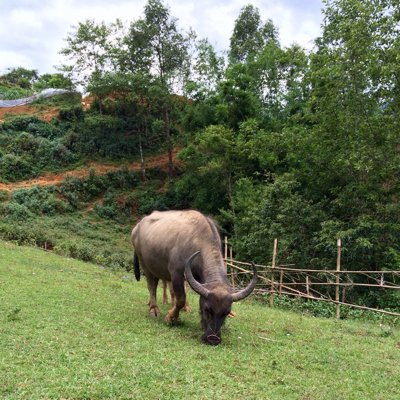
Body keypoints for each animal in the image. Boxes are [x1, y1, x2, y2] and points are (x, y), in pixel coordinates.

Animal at [131, 209, 256, 344]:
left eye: (226, 313)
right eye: (207, 309)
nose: (213, 339)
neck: (198, 241)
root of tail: (137, 227)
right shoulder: (176, 273)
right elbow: (181, 298)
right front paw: (171, 317)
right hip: (145, 264)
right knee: (152, 287)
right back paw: (154, 309)